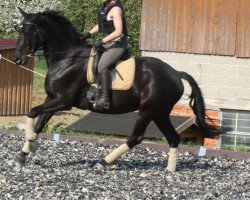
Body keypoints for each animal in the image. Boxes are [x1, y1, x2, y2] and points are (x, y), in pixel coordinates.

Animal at [13, 9, 221, 172]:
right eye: (19, 30)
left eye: (29, 31)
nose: (16, 59)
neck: (67, 57)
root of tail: (176, 74)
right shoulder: (52, 99)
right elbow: (38, 123)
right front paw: (24, 153)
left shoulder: (63, 101)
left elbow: (31, 112)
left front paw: (29, 144)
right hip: (160, 113)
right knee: (173, 138)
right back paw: (170, 170)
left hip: (148, 111)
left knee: (135, 138)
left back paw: (103, 162)